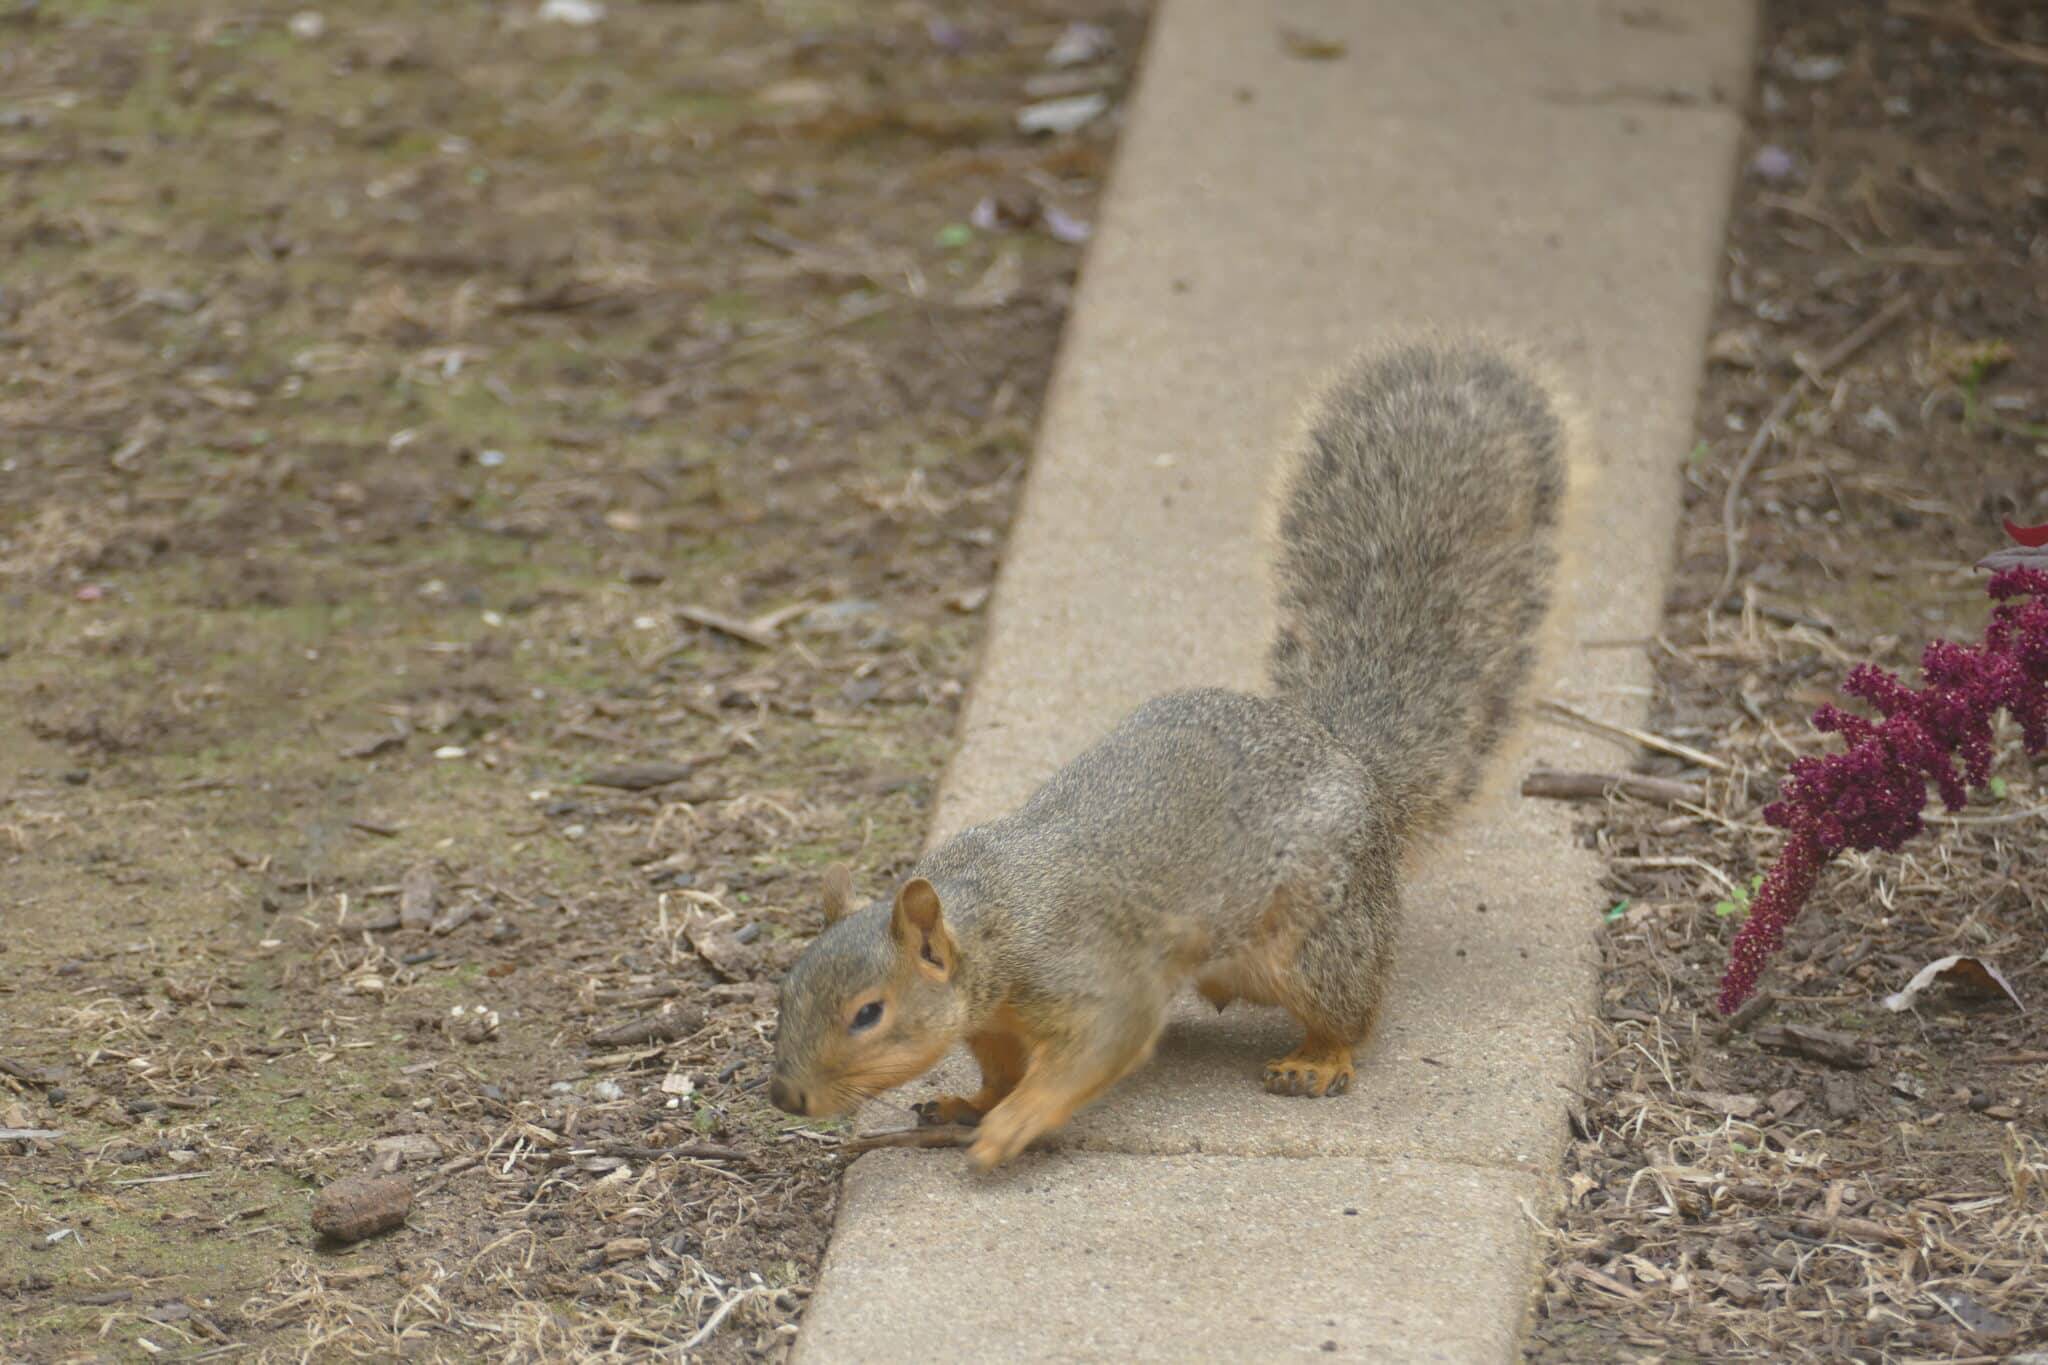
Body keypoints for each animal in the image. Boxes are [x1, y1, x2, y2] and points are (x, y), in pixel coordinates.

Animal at [769, 338, 1579, 1171]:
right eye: (785, 988)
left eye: (868, 1012)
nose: (785, 1096)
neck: (989, 920)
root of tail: (1352, 757)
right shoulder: (993, 1021)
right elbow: (997, 1066)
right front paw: (974, 1101)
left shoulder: (1089, 977)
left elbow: (1097, 1047)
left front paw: (1011, 1125)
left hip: (1319, 934)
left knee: (1353, 1011)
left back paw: (1318, 1059)